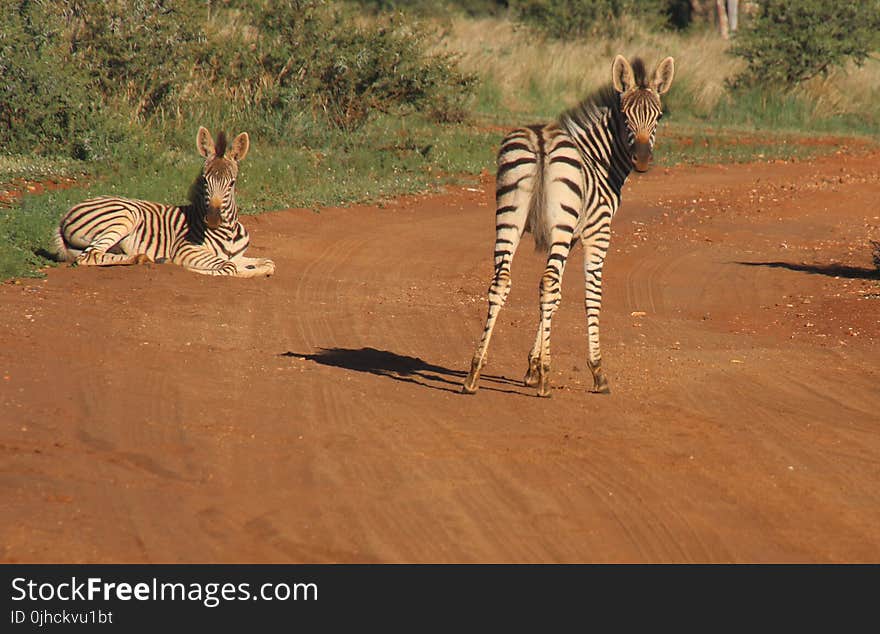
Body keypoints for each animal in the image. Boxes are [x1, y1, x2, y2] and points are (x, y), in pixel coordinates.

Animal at [55, 126, 276, 276]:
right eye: (205, 180)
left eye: (232, 183)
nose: (213, 219)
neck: (229, 231)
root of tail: (66, 214)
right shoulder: (186, 249)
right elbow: (229, 267)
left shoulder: (238, 256)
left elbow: (268, 264)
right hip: (125, 214)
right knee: (90, 255)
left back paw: (143, 257)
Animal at [460, 56, 672, 398]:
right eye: (626, 116)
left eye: (658, 116)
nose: (641, 159)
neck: (599, 159)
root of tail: (541, 139)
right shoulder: (597, 231)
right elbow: (591, 296)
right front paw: (596, 372)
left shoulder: (570, 236)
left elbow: (557, 297)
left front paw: (532, 366)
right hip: (556, 223)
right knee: (547, 283)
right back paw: (546, 382)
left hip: (510, 216)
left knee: (502, 282)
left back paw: (474, 372)